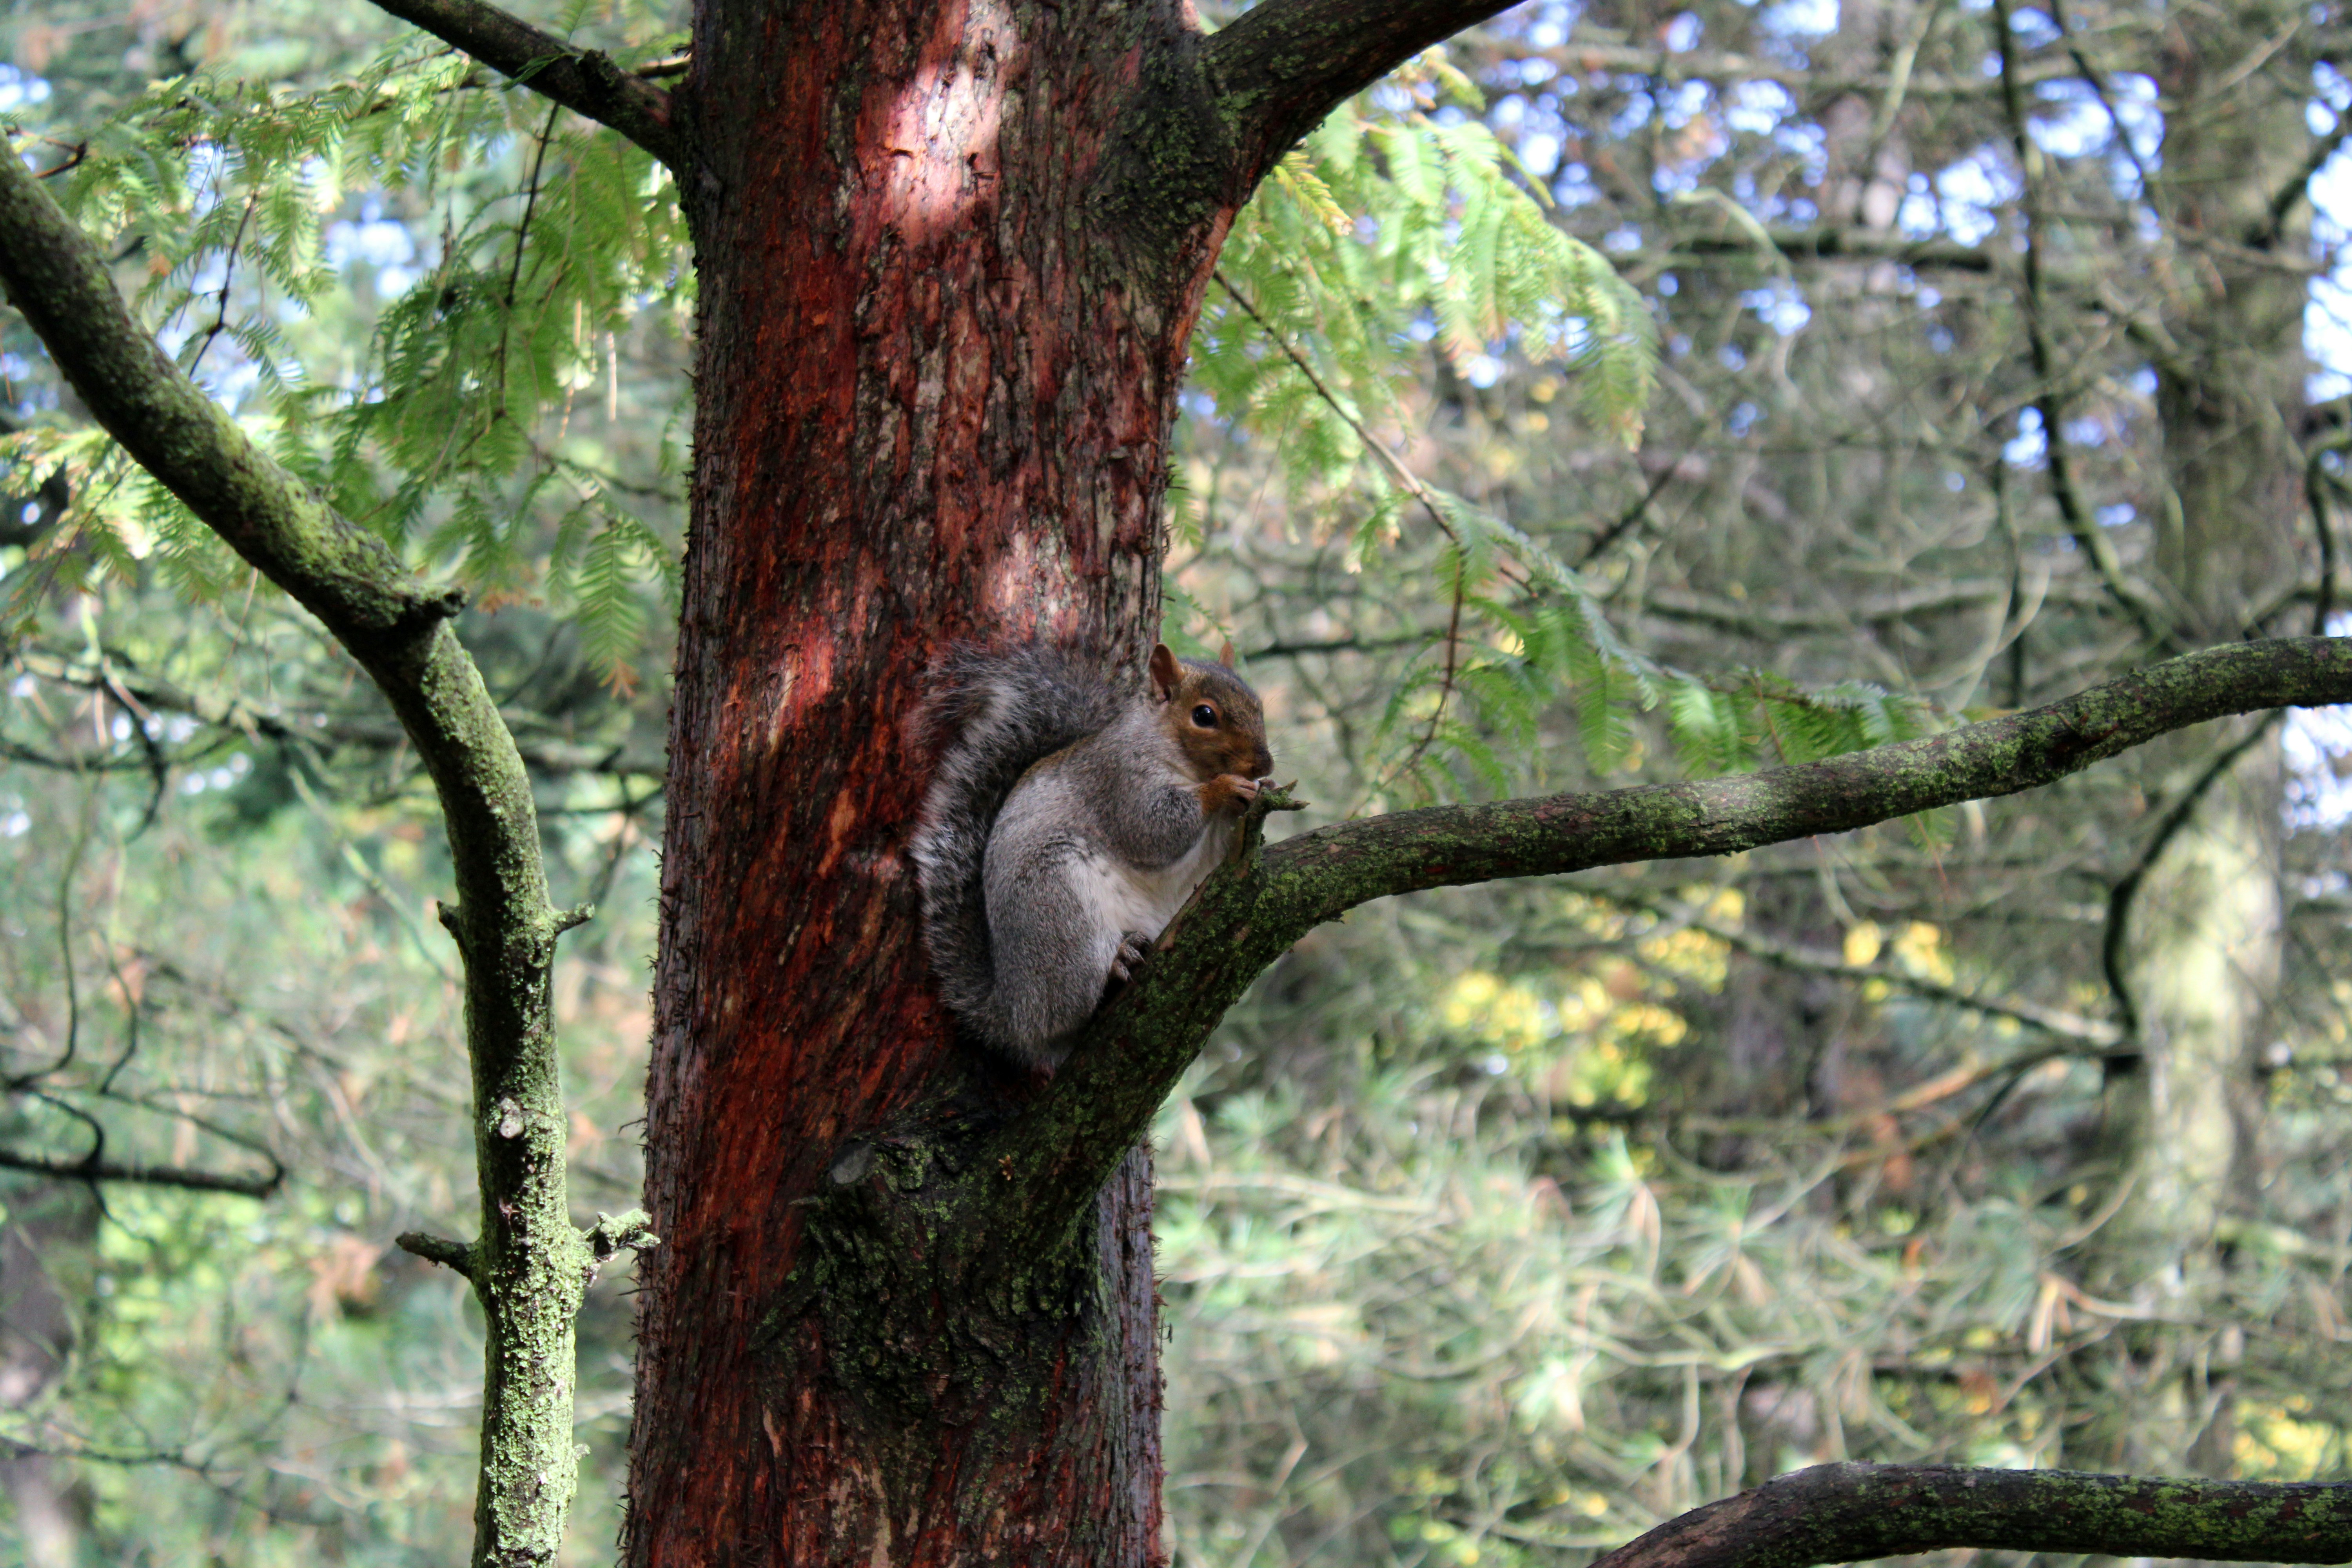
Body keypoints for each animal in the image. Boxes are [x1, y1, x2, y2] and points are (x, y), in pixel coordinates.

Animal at [910, 640, 1275, 1072]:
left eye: (1258, 705)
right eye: (1204, 715)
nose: (1264, 763)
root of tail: (1013, 1013)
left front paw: (1260, 794)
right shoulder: (1119, 781)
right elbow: (1153, 829)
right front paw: (1223, 789)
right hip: (1057, 902)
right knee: (1068, 1006)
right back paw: (1116, 967)